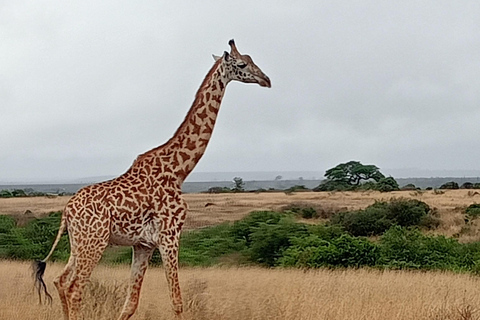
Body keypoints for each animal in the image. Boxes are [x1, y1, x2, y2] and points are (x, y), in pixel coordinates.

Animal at [33, 38, 272, 318]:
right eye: (242, 64)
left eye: (252, 59)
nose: (266, 79)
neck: (178, 170)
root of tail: (67, 211)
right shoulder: (170, 235)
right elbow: (177, 301)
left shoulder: (143, 245)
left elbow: (130, 303)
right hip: (94, 242)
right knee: (74, 289)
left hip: (78, 243)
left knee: (60, 281)